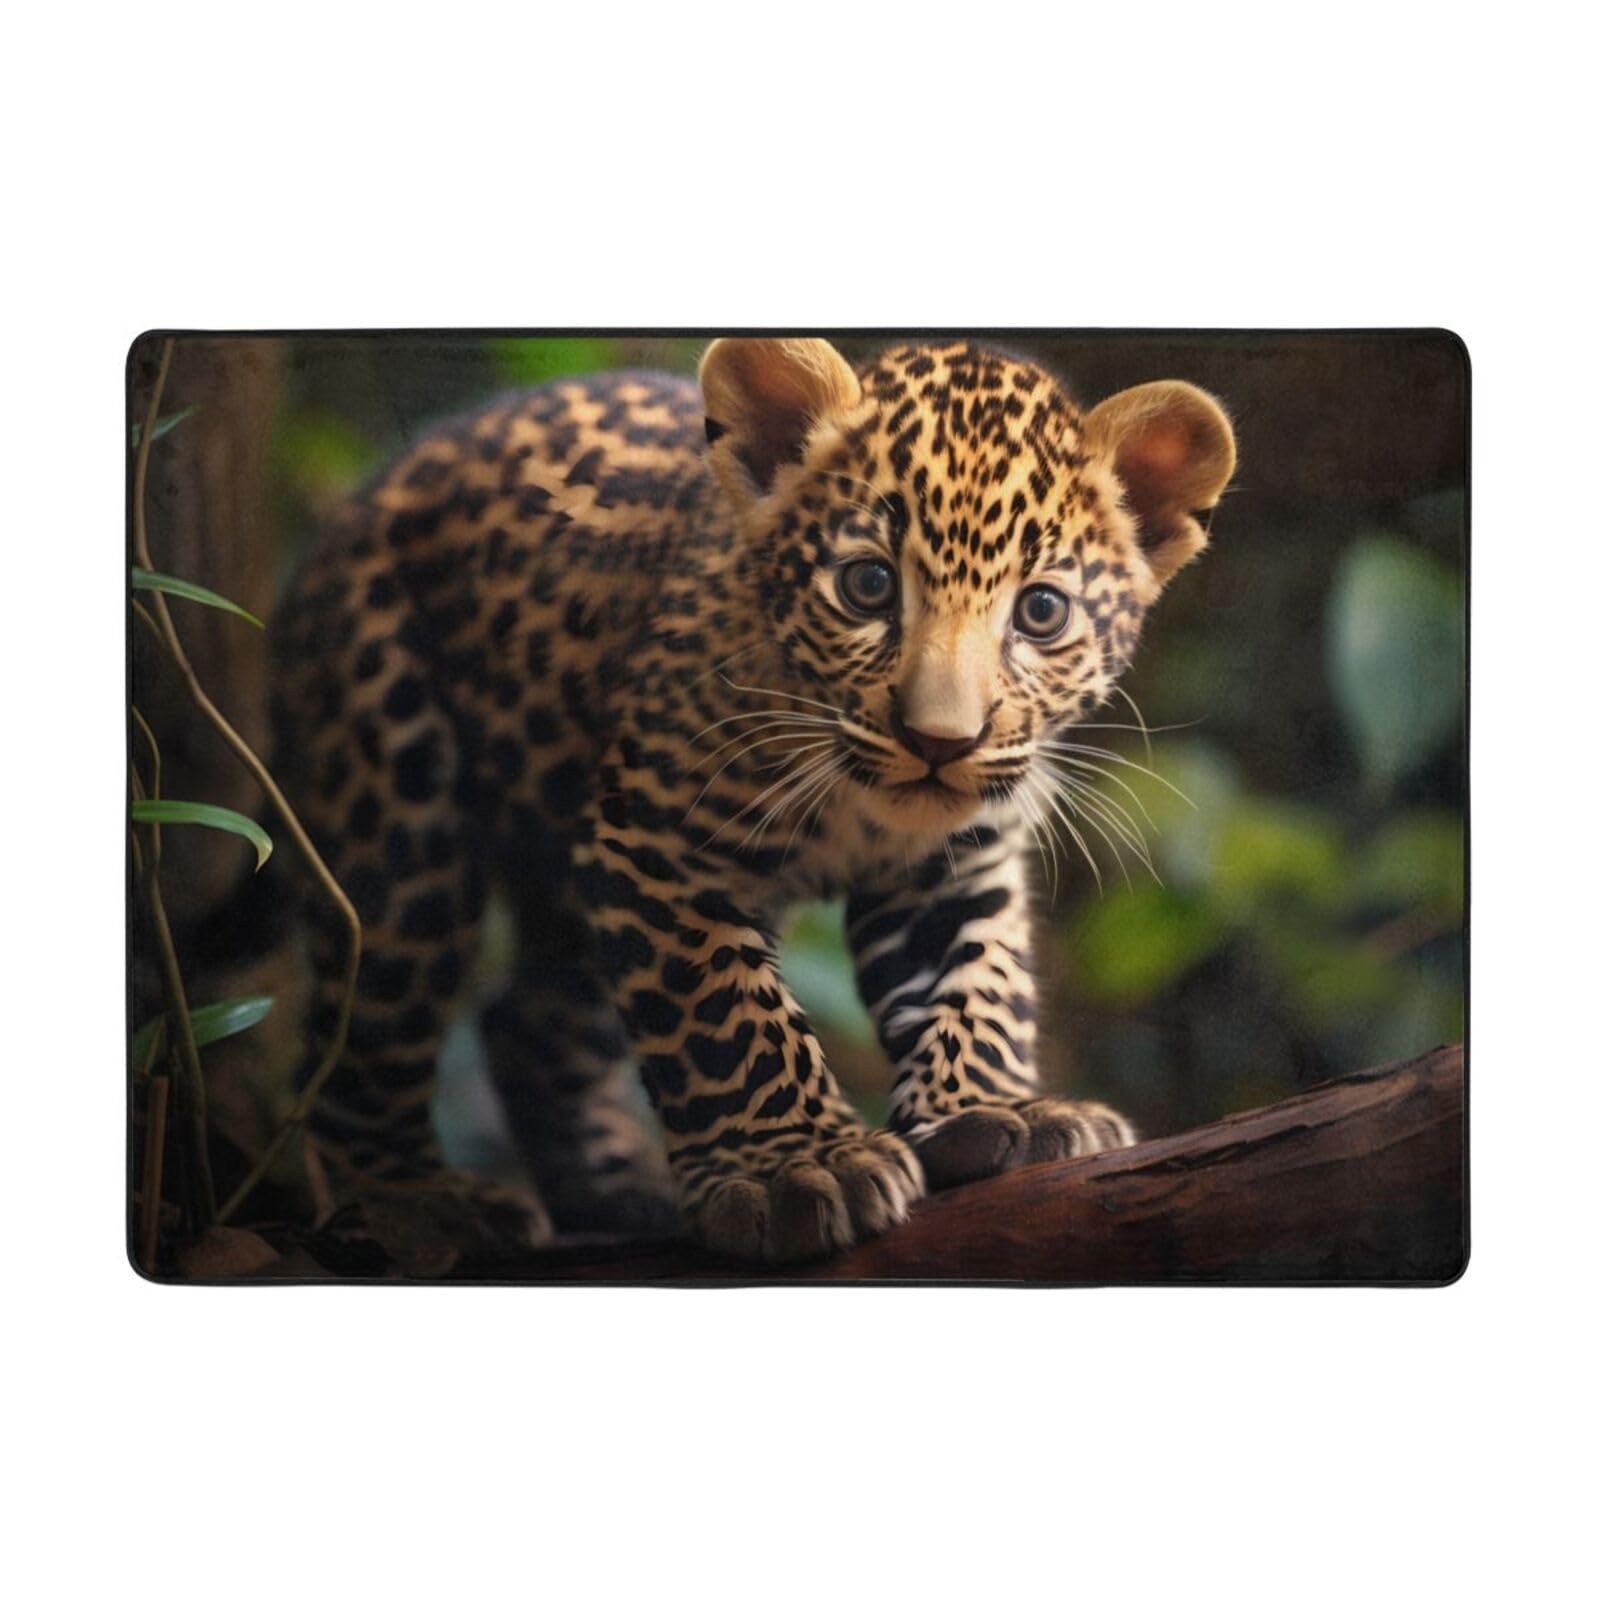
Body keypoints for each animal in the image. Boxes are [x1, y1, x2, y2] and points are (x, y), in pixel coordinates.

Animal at [271, 336, 1236, 1264]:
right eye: (867, 585)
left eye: (1041, 612)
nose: (940, 742)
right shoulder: (657, 839)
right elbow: (722, 1010)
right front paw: (796, 1168)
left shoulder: (953, 863)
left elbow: (979, 982)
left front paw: (994, 1110)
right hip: (395, 807)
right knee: (361, 1029)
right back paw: (414, 1201)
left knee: (526, 1019)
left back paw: (615, 1190)